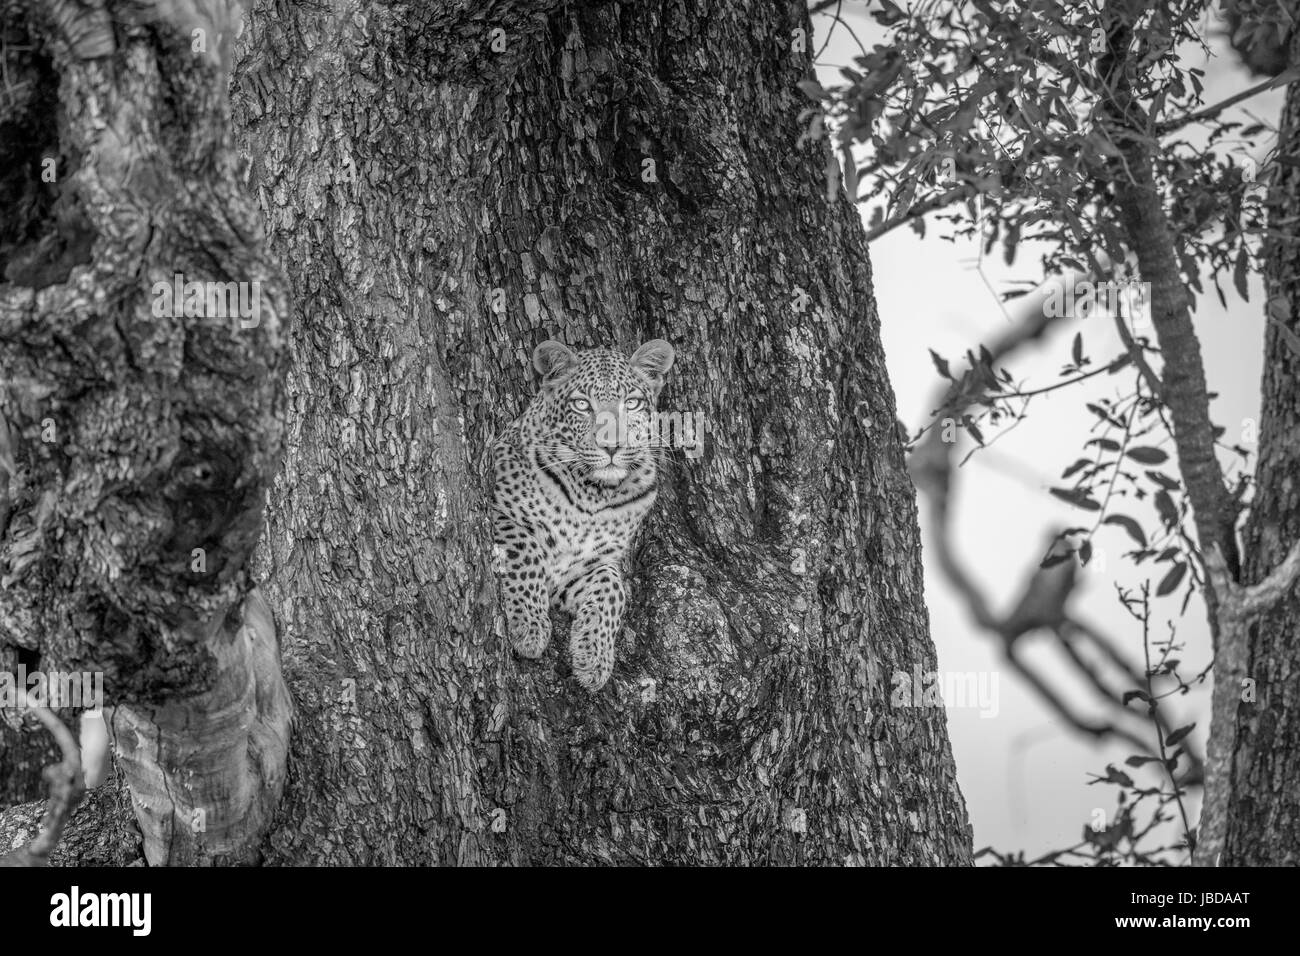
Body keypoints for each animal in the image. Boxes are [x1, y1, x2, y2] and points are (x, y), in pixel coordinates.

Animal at [490, 338, 675, 692]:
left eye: (632, 404)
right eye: (581, 405)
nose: (612, 447)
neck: (593, 496)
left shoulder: (585, 566)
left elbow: (613, 588)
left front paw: (594, 659)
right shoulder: (500, 511)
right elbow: (527, 551)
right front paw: (530, 628)